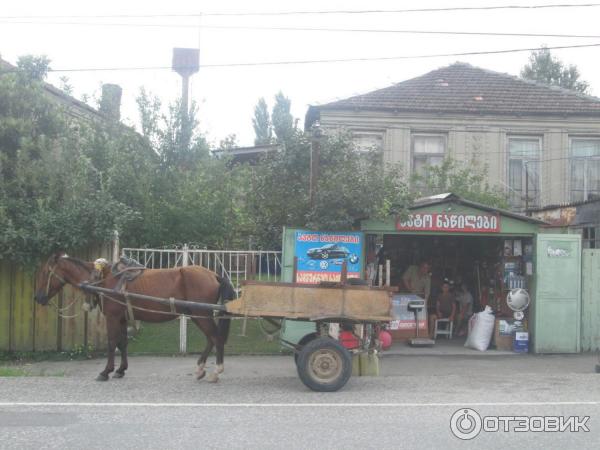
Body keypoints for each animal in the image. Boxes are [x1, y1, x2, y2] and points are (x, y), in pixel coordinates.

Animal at [32, 251, 234, 382]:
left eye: (45, 272)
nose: (38, 297)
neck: (102, 279)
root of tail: (214, 275)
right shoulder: (121, 318)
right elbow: (123, 343)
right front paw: (120, 370)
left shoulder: (112, 318)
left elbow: (112, 343)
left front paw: (105, 372)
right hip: (198, 315)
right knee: (211, 339)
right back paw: (200, 369)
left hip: (201, 315)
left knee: (216, 338)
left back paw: (216, 371)